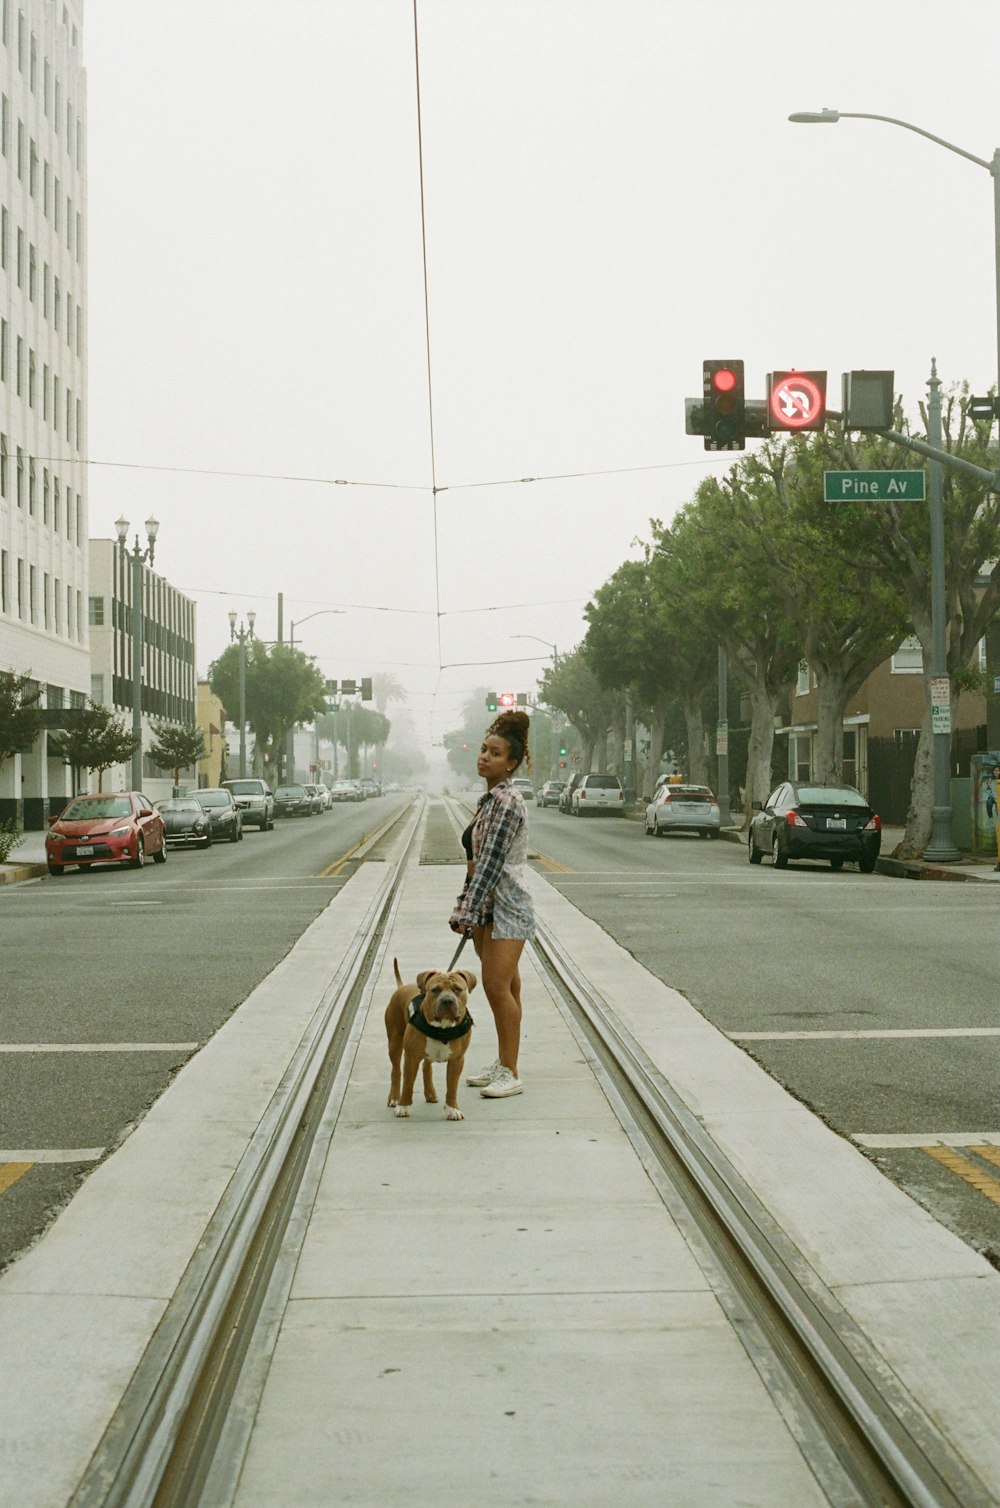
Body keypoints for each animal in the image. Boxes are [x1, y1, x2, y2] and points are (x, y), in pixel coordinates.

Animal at [383, 959, 476, 1115]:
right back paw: (395, 1097)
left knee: (426, 1066)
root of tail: (401, 987)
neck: (442, 1027)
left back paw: (430, 1093)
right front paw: (403, 1106)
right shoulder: (411, 1057)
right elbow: (408, 1084)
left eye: (457, 989)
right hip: (394, 1042)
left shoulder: (457, 1060)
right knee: (396, 1070)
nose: (447, 1000)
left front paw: (452, 1108)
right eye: (435, 990)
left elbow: (452, 1086)